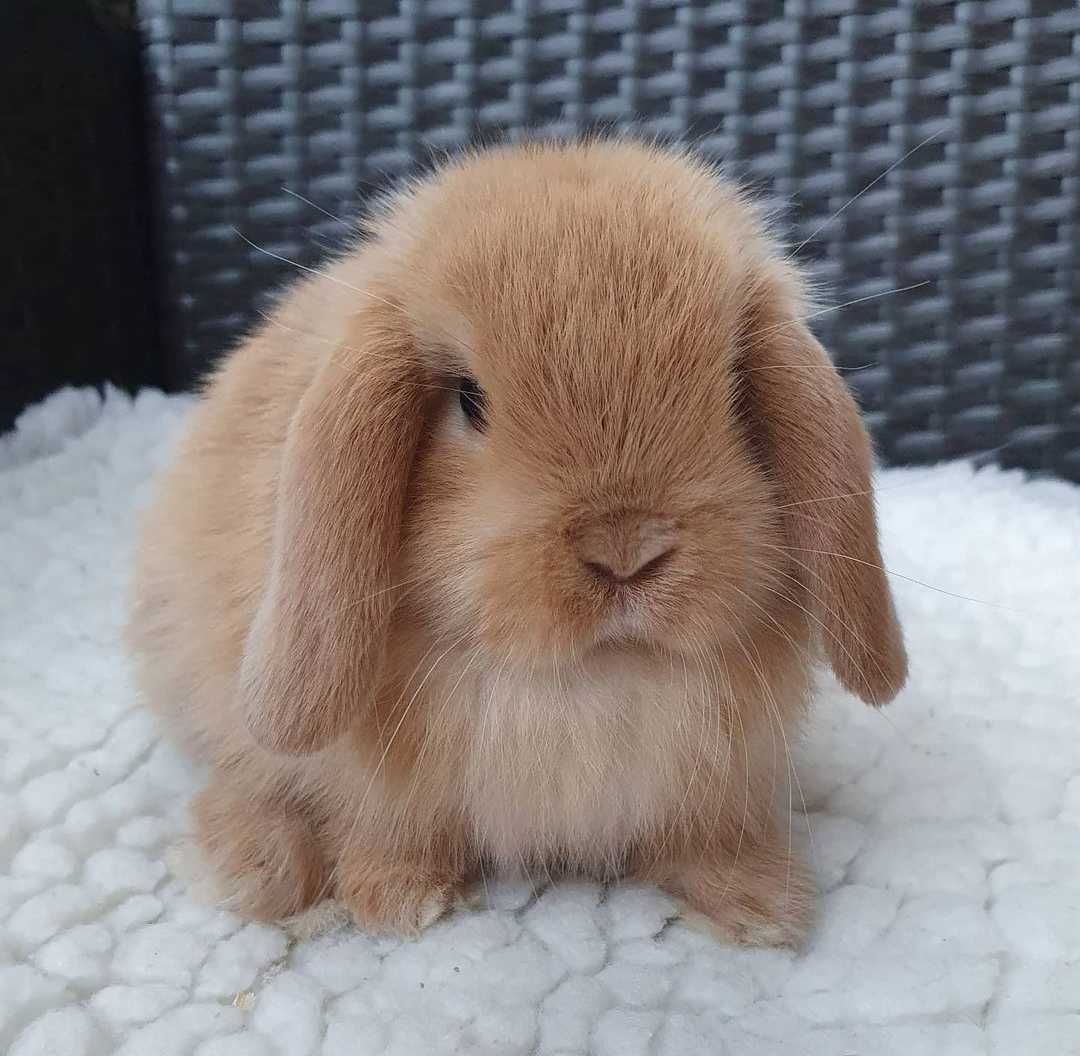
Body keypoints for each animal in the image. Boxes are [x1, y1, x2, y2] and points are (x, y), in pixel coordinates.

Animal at [126, 136, 907, 941]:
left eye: (729, 387)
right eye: (469, 400)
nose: (625, 551)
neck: (585, 686)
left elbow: (704, 841)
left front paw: (760, 905)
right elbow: (382, 830)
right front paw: (397, 900)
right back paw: (252, 866)